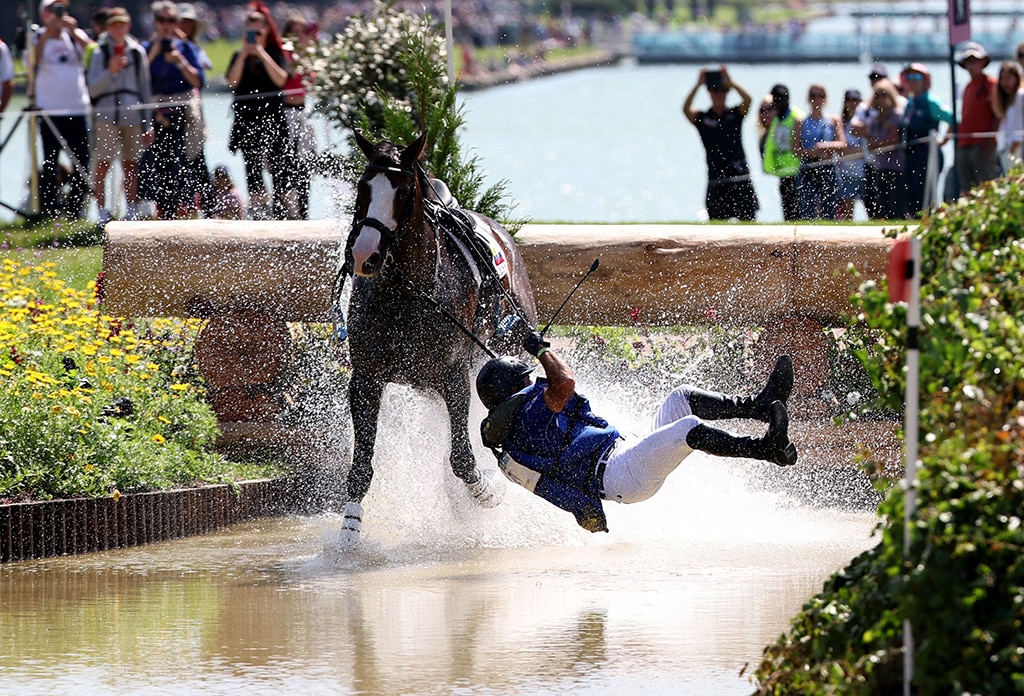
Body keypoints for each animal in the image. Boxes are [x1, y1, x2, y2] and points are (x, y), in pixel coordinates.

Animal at [337, 132, 544, 548]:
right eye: (363, 188)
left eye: (402, 192)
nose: (364, 254)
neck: (406, 295)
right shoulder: (366, 379)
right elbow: (362, 462)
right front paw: (349, 531)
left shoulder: (455, 377)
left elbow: (463, 457)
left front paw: (488, 492)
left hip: (511, 344)